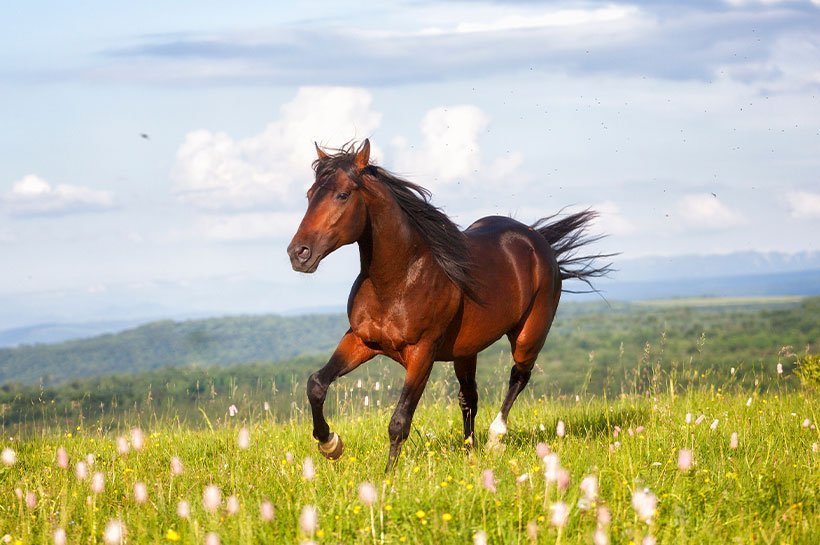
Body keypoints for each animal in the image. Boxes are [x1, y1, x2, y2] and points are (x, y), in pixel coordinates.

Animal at [286, 138, 612, 470]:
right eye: (310, 194)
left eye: (342, 194)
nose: (298, 253)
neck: (398, 280)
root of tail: (538, 241)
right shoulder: (361, 340)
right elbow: (316, 384)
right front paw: (330, 444)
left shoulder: (422, 353)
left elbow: (399, 421)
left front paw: (387, 477)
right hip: (466, 350)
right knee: (469, 397)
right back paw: (470, 452)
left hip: (528, 336)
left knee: (519, 376)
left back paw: (495, 439)